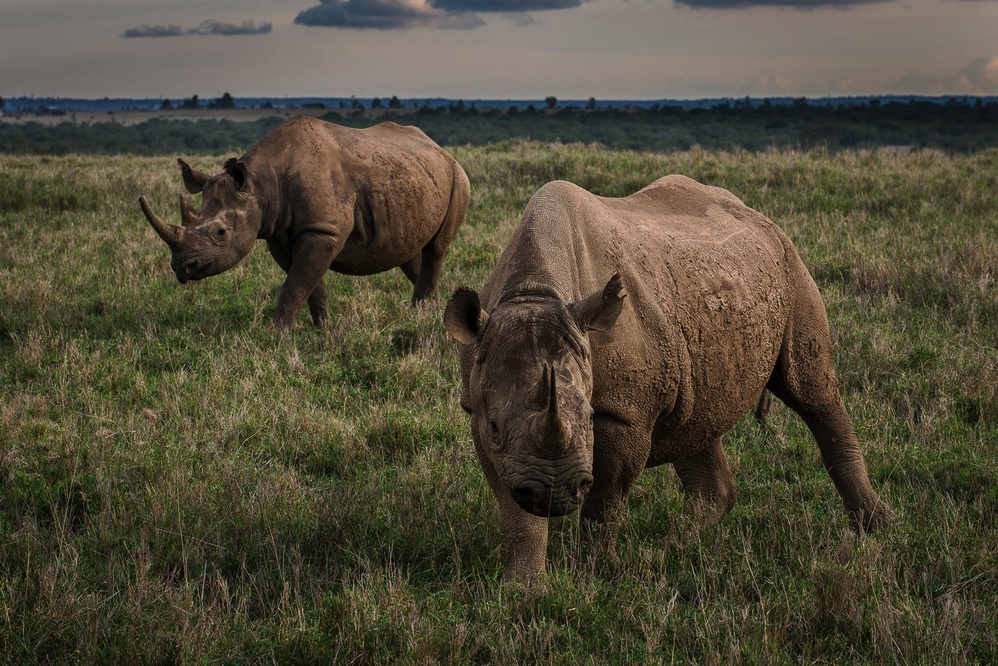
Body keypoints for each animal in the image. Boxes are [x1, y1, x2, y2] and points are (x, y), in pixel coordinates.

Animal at [139, 116, 474, 332]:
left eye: (221, 232)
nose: (182, 267)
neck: (261, 185)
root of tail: (440, 148)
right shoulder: (279, 235)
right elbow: (309, 286)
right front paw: (323, 332)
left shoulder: (322, 230)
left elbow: (295, 285)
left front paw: (277, 339)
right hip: (417, 176)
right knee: (411, 250)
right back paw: (428, 314)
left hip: (458, 177)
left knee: (437, 248)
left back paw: (423, 315)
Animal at [446, 174, 892, 580]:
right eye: (495, 425)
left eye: (590, 418)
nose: (554, 492)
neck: (534, 291)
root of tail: (756, 214)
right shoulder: (481, 412)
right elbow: (515, 509)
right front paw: (524, 587)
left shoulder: (625, 412)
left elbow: (604, 504)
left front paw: (591, 572)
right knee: (698, 418)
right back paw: (682, 541)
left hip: (791, 264)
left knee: (812, 392)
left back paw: (876, 528)